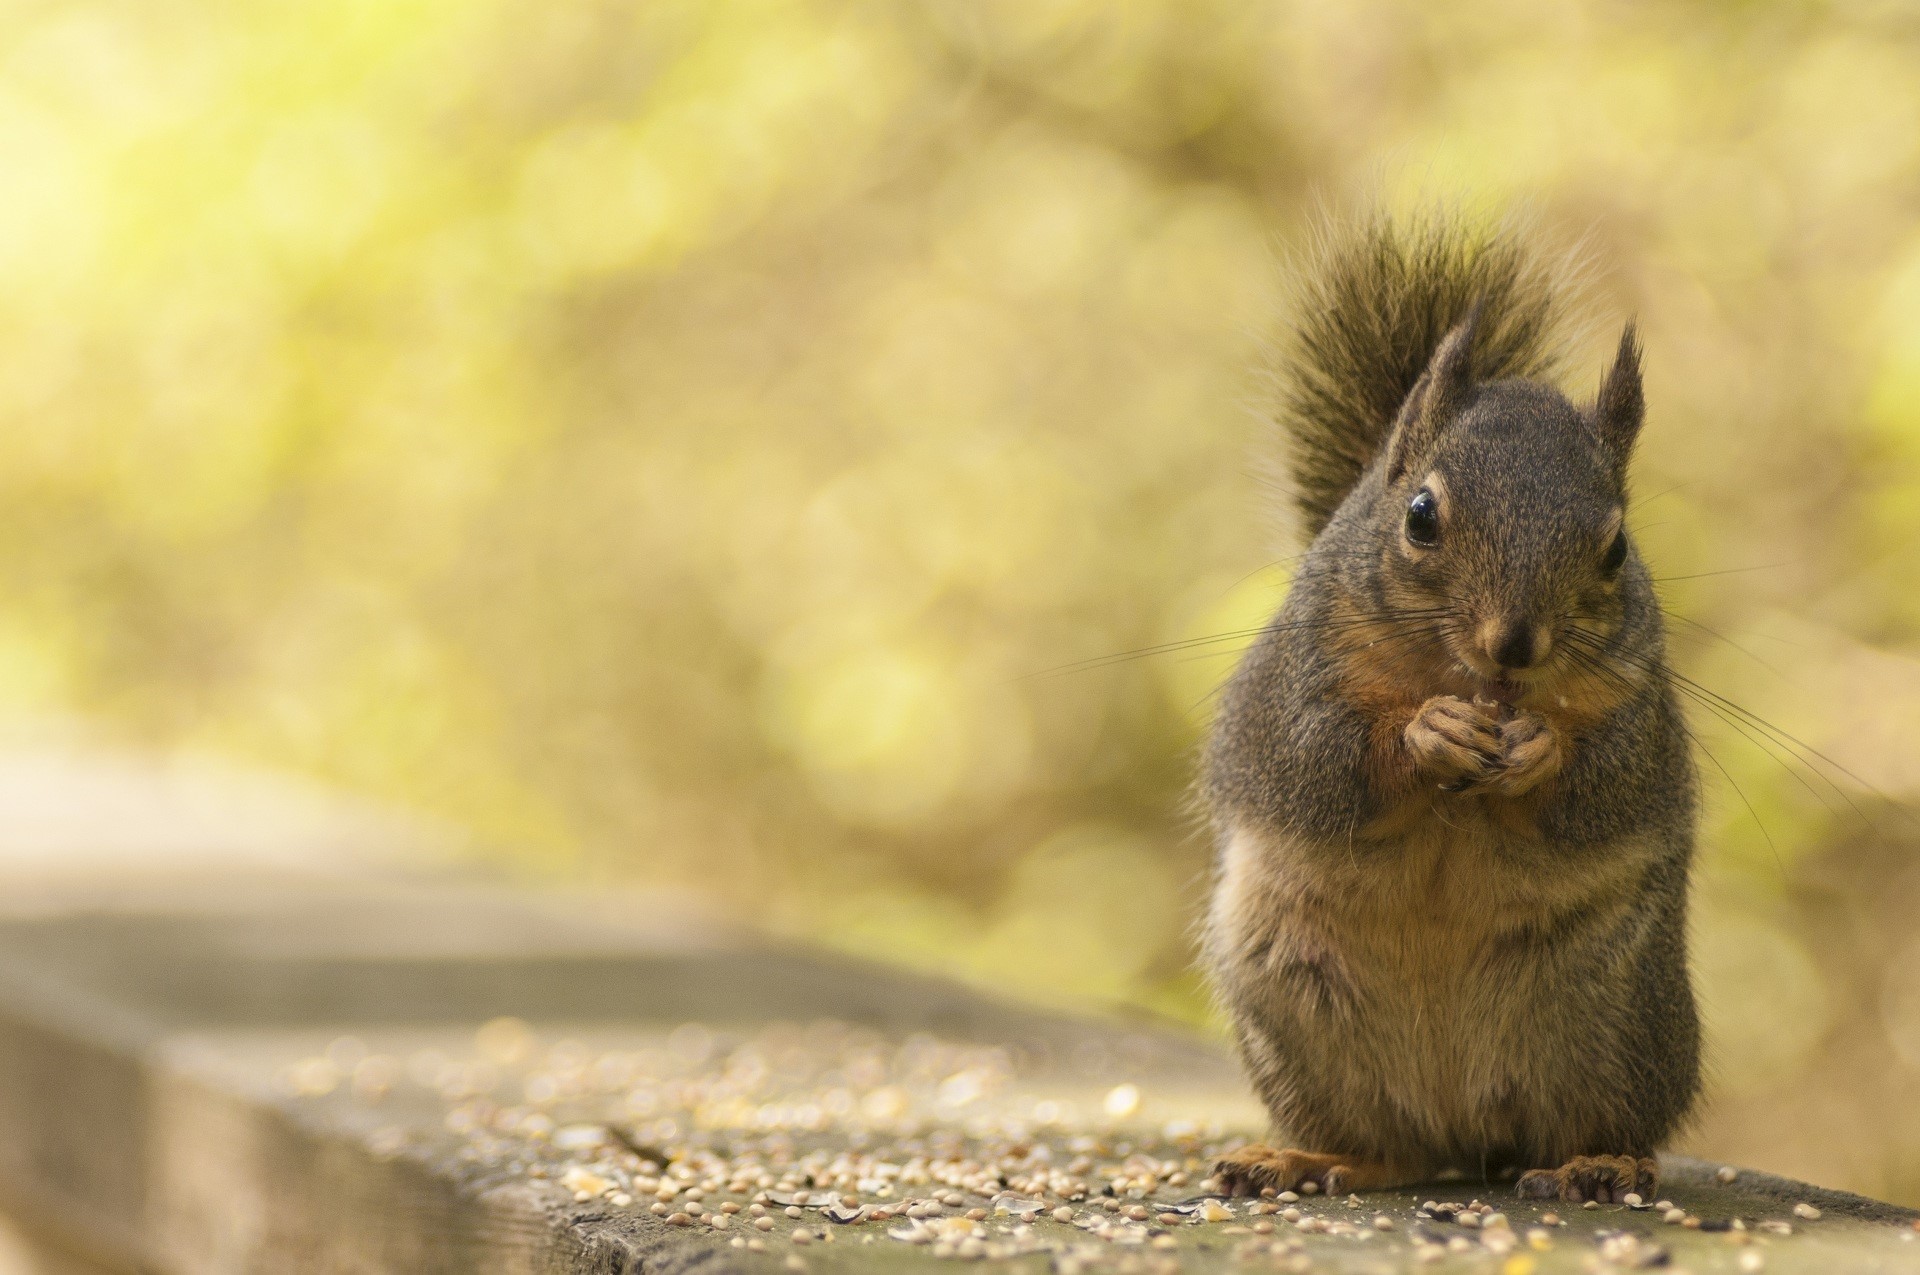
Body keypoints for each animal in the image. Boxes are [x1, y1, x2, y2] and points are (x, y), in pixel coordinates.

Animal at [1200, 210, 1700, 1204]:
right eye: (1421, 514)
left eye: (1617, 548)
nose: (1514, 647)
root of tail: (1467, 1133)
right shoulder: (1289, 688)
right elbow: (1317, 761)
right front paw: (1426, 734)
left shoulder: (1643, 718)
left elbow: (1606, 786)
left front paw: (1540, 747)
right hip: (1296, 1004)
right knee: (1391, 1149)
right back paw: (1307, 1158)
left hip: (1617, 1014)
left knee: (1590, 1123)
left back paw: (1600, 1161)